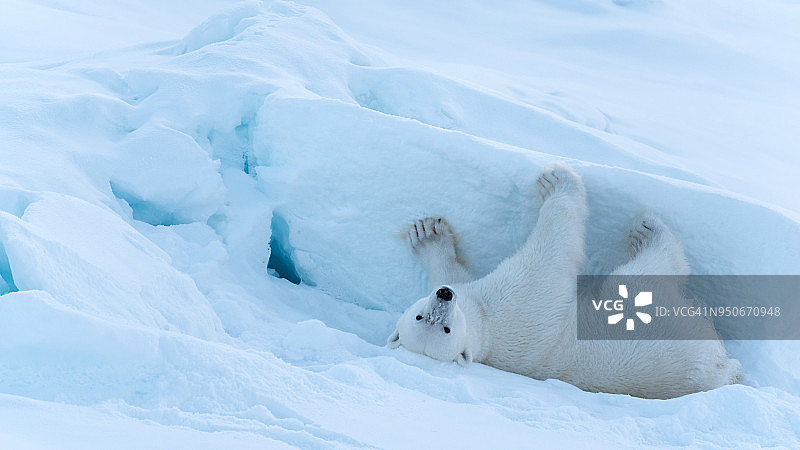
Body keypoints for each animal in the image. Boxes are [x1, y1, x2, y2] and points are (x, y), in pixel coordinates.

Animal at [387, 164, 741, 399]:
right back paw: (647, 231)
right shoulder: (521, 298)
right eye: (439, 327)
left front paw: (427, 234)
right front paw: (558, 181)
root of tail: (722, 369)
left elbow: (456, 272)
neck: (484, 327)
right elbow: (554, 248)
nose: (444, 296)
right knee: (644, 273)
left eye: (420, 315)